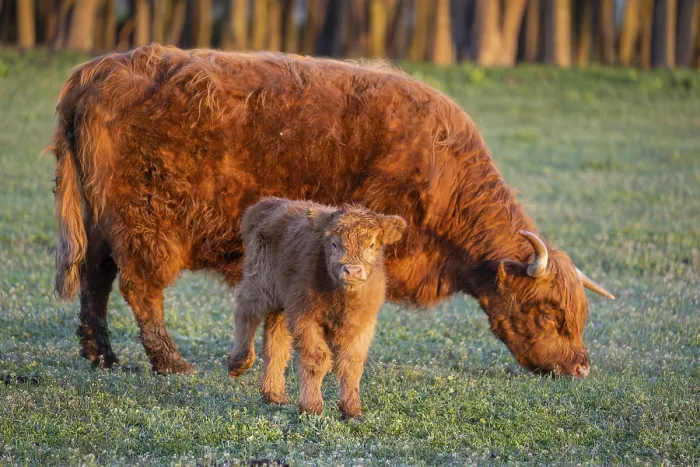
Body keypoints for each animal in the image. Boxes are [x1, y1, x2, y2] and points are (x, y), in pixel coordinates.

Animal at [50, 44, 614, 377]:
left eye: (579, 317)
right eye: (550, 313)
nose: (582, 368)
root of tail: (99, 68)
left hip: (100, 221)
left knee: (95, 279)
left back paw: (101, 355)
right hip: (145, 221)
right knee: (139, 286)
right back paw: (171, 363)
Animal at [228, 197, 406, 418]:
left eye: (372, 244)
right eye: (334, 243)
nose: (352, 270)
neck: (342, 301)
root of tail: (268, 203)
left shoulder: (363, 324)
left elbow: (352, 364)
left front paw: (351, 410)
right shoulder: (306, 317)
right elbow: (317, 359)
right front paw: (311, 407)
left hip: (282, 303)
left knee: (275, 342)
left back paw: (273, 394)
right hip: (262, 284)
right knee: (245, 309)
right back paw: (240, 361)